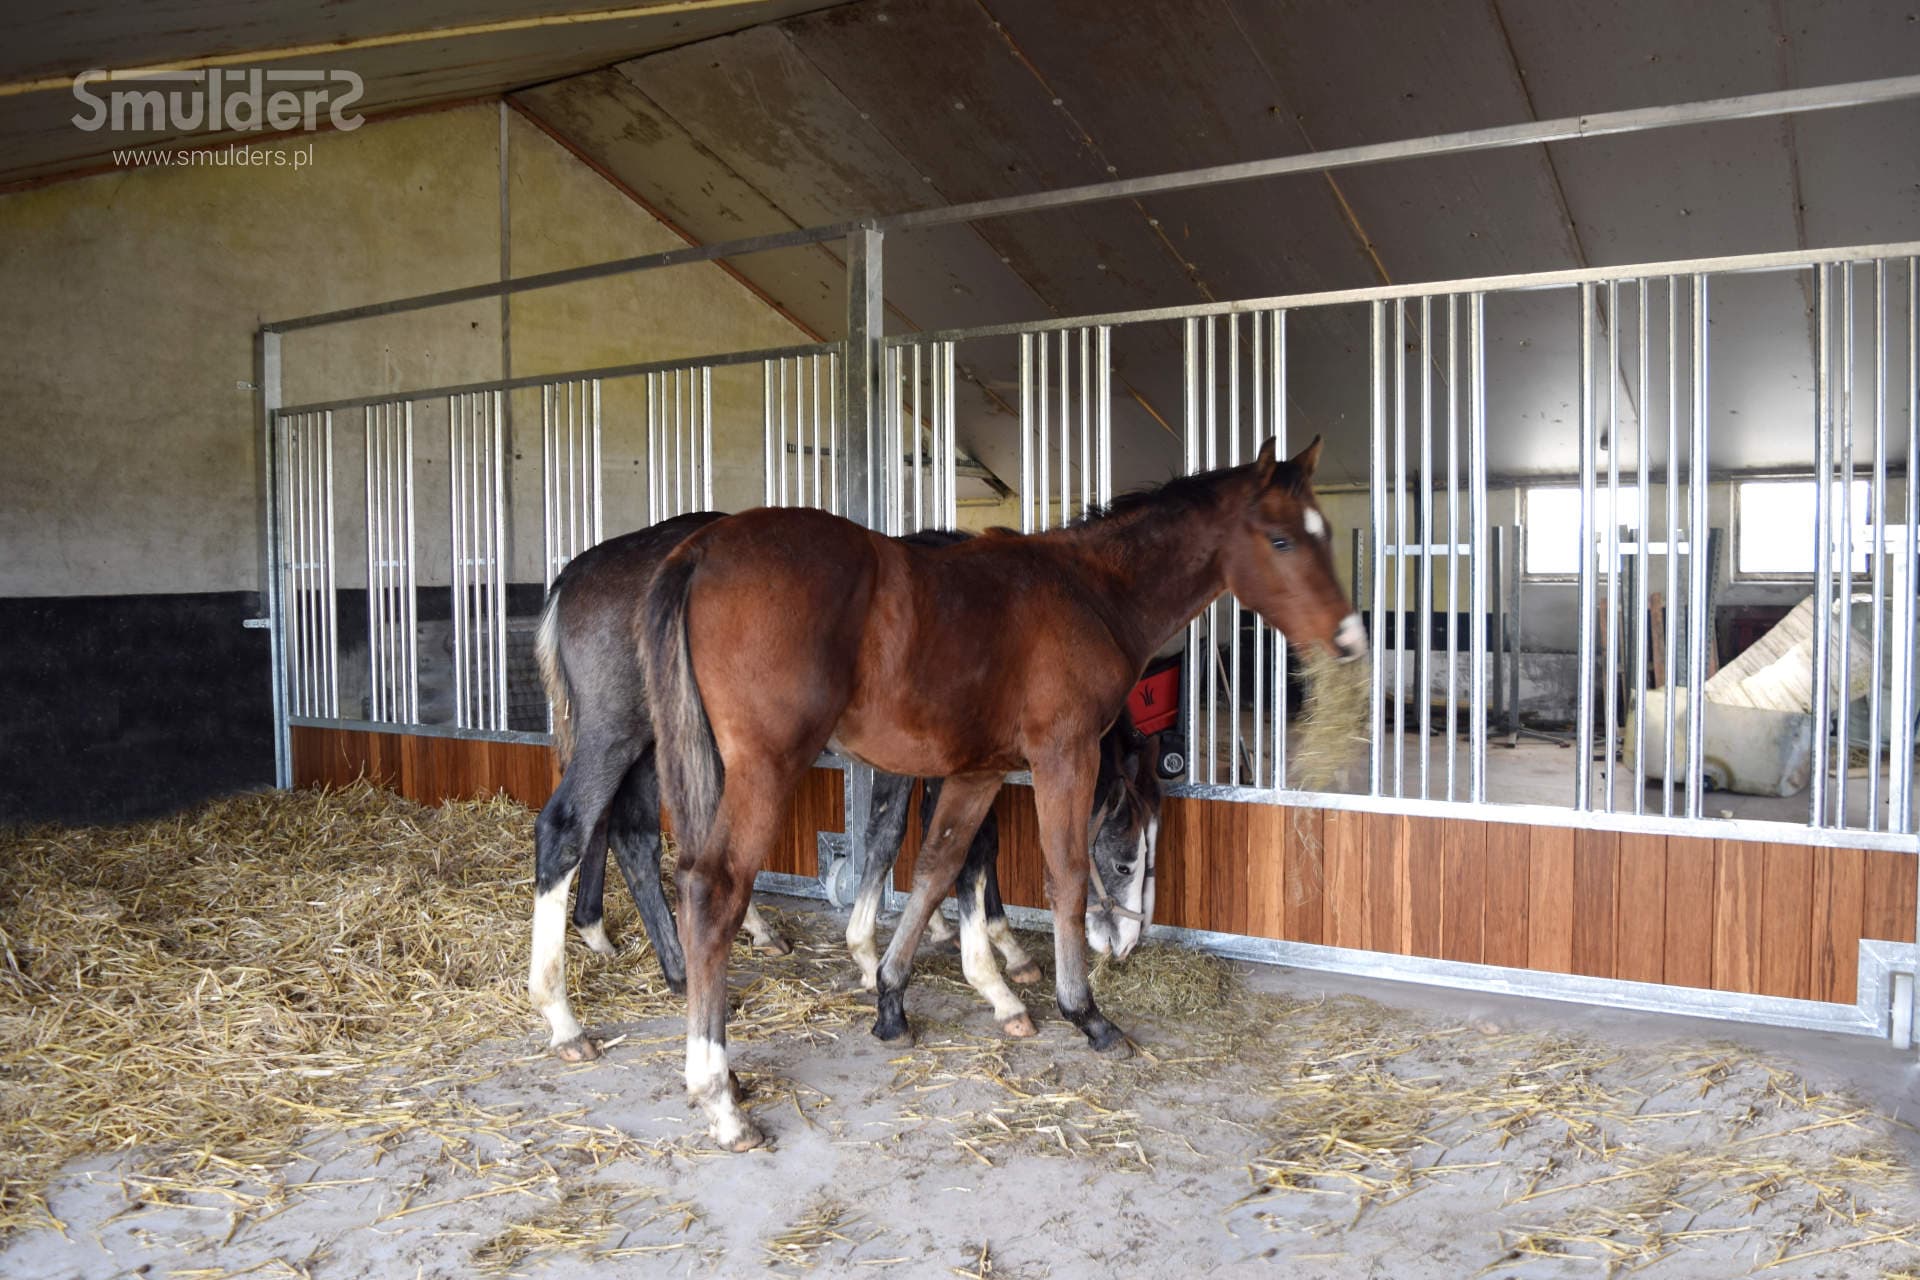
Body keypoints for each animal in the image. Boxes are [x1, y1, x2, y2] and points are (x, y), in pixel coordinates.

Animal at [530, 516, 1163, 1058]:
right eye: (1127, 854)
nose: (1128, 944)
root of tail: (574, 577)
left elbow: (901, 839)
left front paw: (900, 948)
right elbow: (964, 850)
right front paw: (992, 970)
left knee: (630, 834)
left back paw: (663, 957)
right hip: (626, 734)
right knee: (585, 827)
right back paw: (583, 1011)